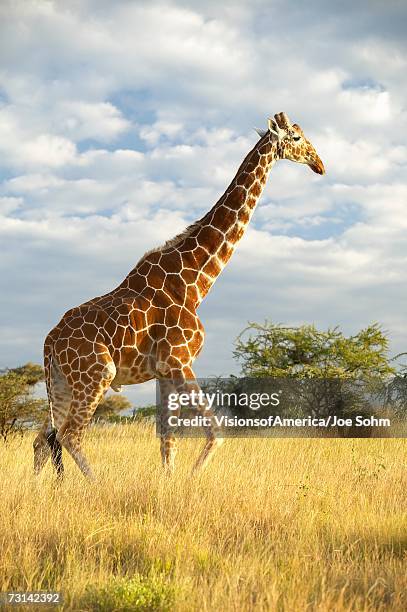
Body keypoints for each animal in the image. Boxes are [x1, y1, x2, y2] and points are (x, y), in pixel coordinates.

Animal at [32, 113, 326, 478]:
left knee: (44, 437)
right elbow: (215, 432)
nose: (320, 165)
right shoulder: (179, 360)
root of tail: (50, 340)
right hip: (97, 374)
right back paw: (98, 485)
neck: (195, 282)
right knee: (69, 435)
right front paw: (191, 479)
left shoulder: (163, 371)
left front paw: (169, 482)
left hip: (60, 381)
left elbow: (168, 439)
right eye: (297, 138)